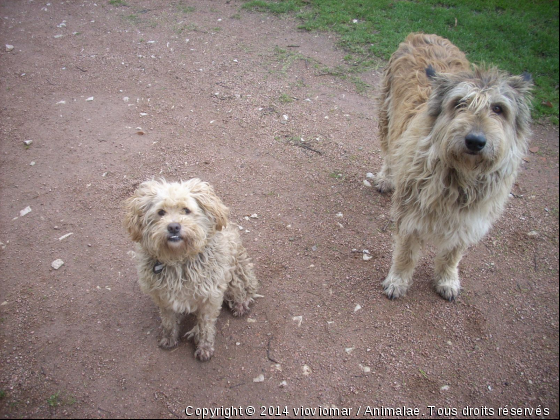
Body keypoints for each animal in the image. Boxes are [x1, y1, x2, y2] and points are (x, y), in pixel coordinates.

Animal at [123, 178, 258, 360]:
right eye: (161, 212)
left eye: (186, 210)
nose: (173, 227)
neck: (179, 260)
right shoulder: (163, 298)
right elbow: (168, 321)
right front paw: (169, 338)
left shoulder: (210, 297)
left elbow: (206, 325)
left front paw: (204, 346)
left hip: (237, 273)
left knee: (245, 289)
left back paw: (240, 304)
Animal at [374, 34, 532, 300]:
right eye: (459, 103)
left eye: (498, 108)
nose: (475, 141)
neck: (460, 176)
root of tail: (423, 34)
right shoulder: (410, 212)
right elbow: (406, 253)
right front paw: (398, 280)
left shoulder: (468, 220)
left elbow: (452, 254)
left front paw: (447, 279)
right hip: (387, 115)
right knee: (389, 151)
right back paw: (386, 177)